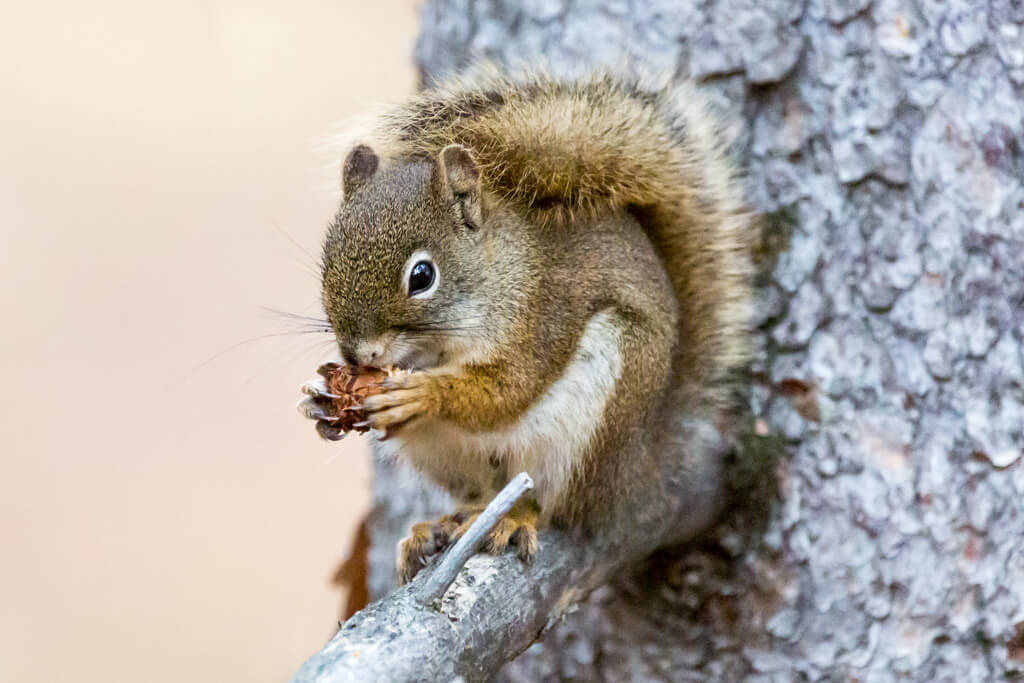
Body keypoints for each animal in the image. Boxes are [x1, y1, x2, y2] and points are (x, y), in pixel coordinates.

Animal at [297, 66, 754, 584]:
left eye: (422, 276)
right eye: (327, 262)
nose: (358, 355)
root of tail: (641, 467)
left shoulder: (542, 317)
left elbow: (507, 391)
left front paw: (423, 394)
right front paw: (322, 400)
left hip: (591, 428)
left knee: (556, 504)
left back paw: (515, 519)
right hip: (446, 456)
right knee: (480, 491)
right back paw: (439, 526)